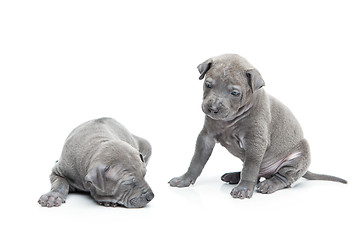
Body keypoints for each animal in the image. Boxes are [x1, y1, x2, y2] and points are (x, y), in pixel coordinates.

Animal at [169, 54, 346, 199]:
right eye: (208, 85)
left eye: (235, 93)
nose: (212, 108)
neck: (231, 120)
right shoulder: (206, 137)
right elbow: (196, 161)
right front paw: (184, 179)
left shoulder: (255, 142)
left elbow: (250, 168)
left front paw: (243, 189)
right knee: (255, 172)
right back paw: (234, 176)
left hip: (297, 158)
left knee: (283, 178)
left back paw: (267, 184)